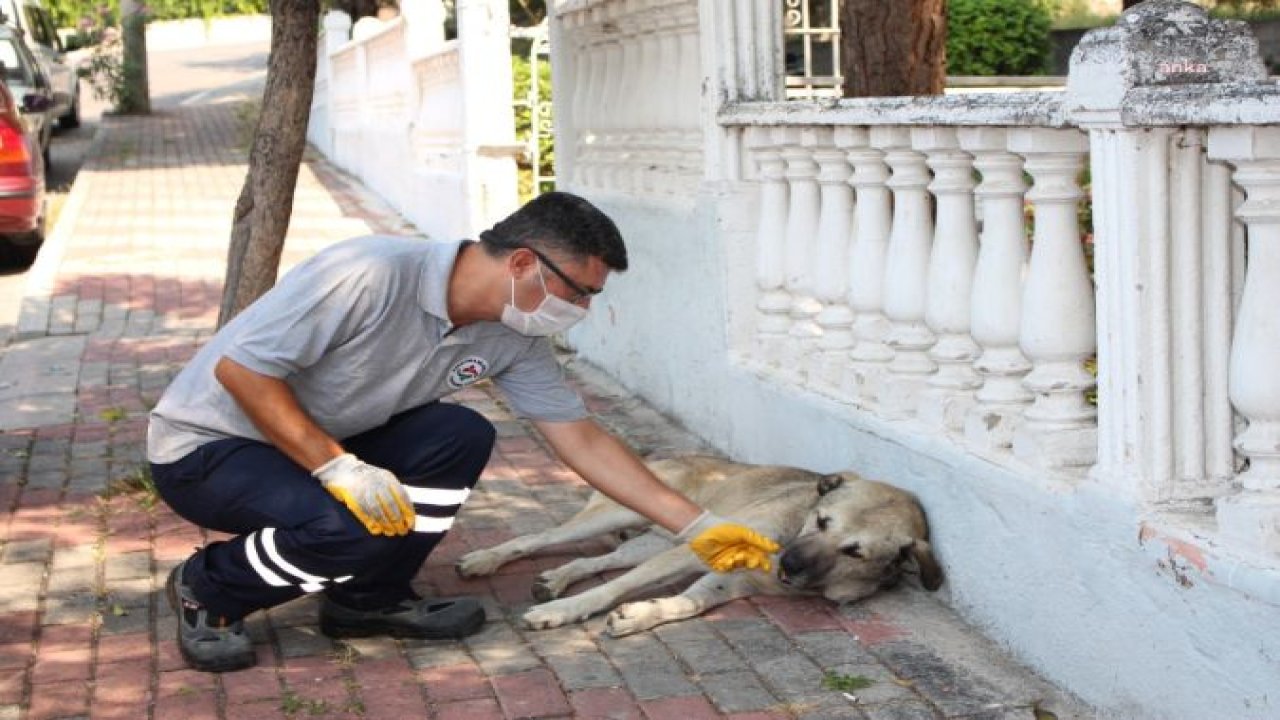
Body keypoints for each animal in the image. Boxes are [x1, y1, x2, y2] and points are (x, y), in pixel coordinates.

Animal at [458, 453, 942, 632]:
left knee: (600, 561)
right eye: (822, 521)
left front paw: (643, 614)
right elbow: (614, 588)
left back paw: (556, 579)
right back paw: (485, 560)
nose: (787, 565)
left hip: (654, 543)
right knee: (538, 538)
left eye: (855, 551)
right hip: (621, 515)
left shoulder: (730, 582)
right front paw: (564, 611)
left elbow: (686, 603)